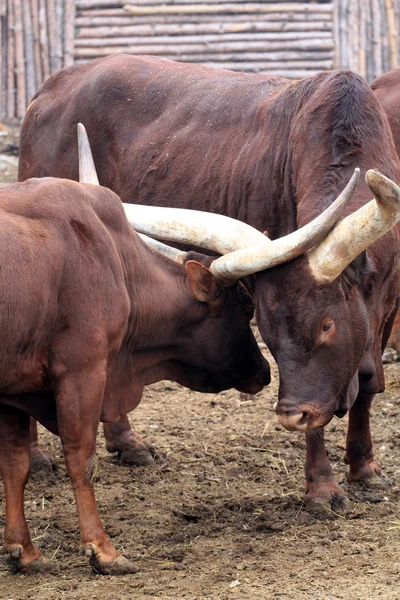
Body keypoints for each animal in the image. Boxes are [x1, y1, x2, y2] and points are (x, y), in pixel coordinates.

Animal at [0, 138, 274, 576]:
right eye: (247, 306)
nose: (264, 371)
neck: (112, 258)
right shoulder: (83, 372)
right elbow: (81, 458)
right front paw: (102, 549)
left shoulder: (13, 390)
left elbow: (15, 464)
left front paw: (22, 549)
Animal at [19, 55, 400, 506]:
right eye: (266, 330)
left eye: (327, 325)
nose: (292, 415)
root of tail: (53, 86)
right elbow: (324, 416)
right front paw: (323, 487)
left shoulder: (386, 308)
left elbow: (369, 387)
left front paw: (365, 468)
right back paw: (38, 457)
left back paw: (128, 443)